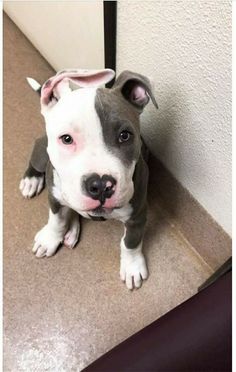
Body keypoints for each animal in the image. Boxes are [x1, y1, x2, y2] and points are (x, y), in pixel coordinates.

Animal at [19, 70, 158, 290]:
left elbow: (131, 242)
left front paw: (132, 267)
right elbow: (56, 219)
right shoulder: (54, 196)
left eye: (125, 135)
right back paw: (31, 180)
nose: (100, 185)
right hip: (42, 155)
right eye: (66, 139)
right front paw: (50, 238)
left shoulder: (138, 215)